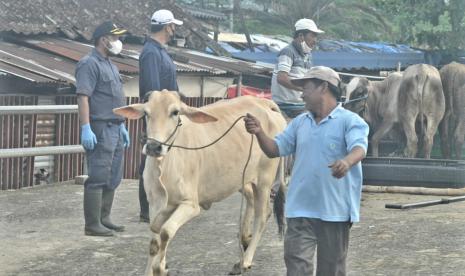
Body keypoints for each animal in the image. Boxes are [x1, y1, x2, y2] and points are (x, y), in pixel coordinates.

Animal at [114, 90, 284, 274]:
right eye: (146, 113)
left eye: (175, 112)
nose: (153, 147)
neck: (165, 164)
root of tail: (264, 103)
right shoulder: (155, 203)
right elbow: (154, 241)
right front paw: (154, 268)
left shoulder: (190, 205)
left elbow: (166, 232)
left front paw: (159, 268)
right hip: (243, 179)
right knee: (252, 200)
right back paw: (244, 239)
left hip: (265, 180)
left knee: (263, 214)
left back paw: (245, 260)